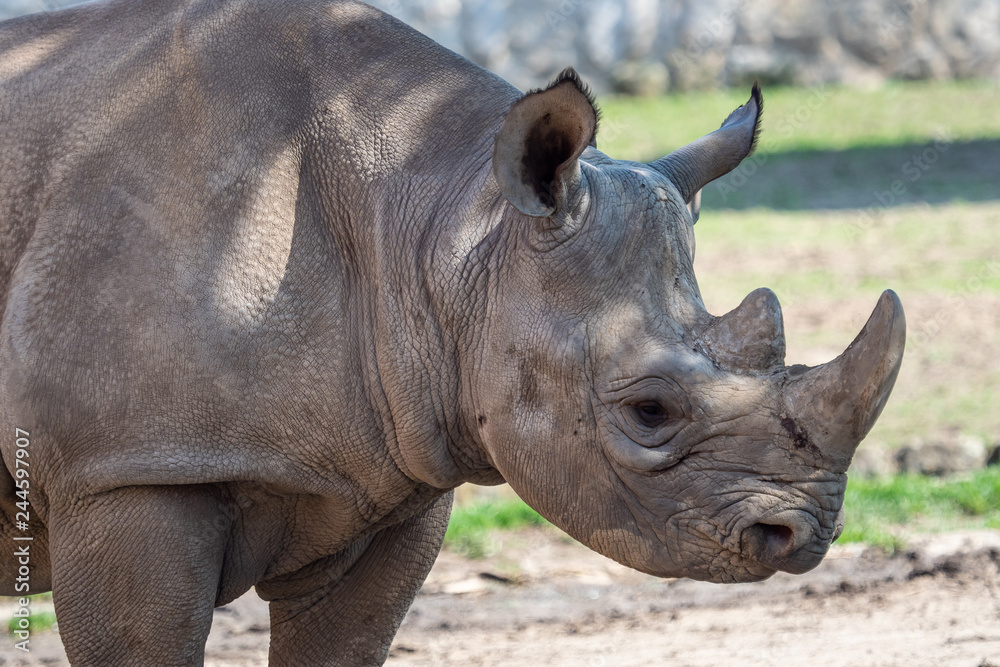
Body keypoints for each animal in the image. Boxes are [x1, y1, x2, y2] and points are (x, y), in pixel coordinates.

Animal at [0, 0, 905, 664]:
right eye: (649, 411)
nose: (804, 534)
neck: (453, 224)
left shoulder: (385, 466)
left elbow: (346, 643)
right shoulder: (125, 469)